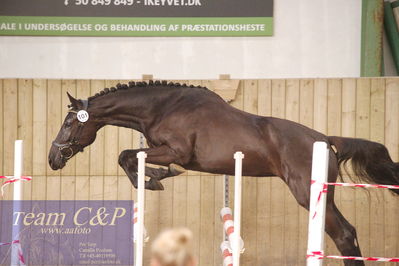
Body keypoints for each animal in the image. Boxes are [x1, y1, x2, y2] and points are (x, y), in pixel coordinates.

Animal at [47, 80, 399, 264]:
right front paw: (155, 178)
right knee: (346, 233)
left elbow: (126, 157)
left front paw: (157, 179)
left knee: (343, 233)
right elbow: (129, 158)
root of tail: (326, 139)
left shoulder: (176, 151)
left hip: (307, 192)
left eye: (68, 123)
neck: (162, 108)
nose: (52, 158)